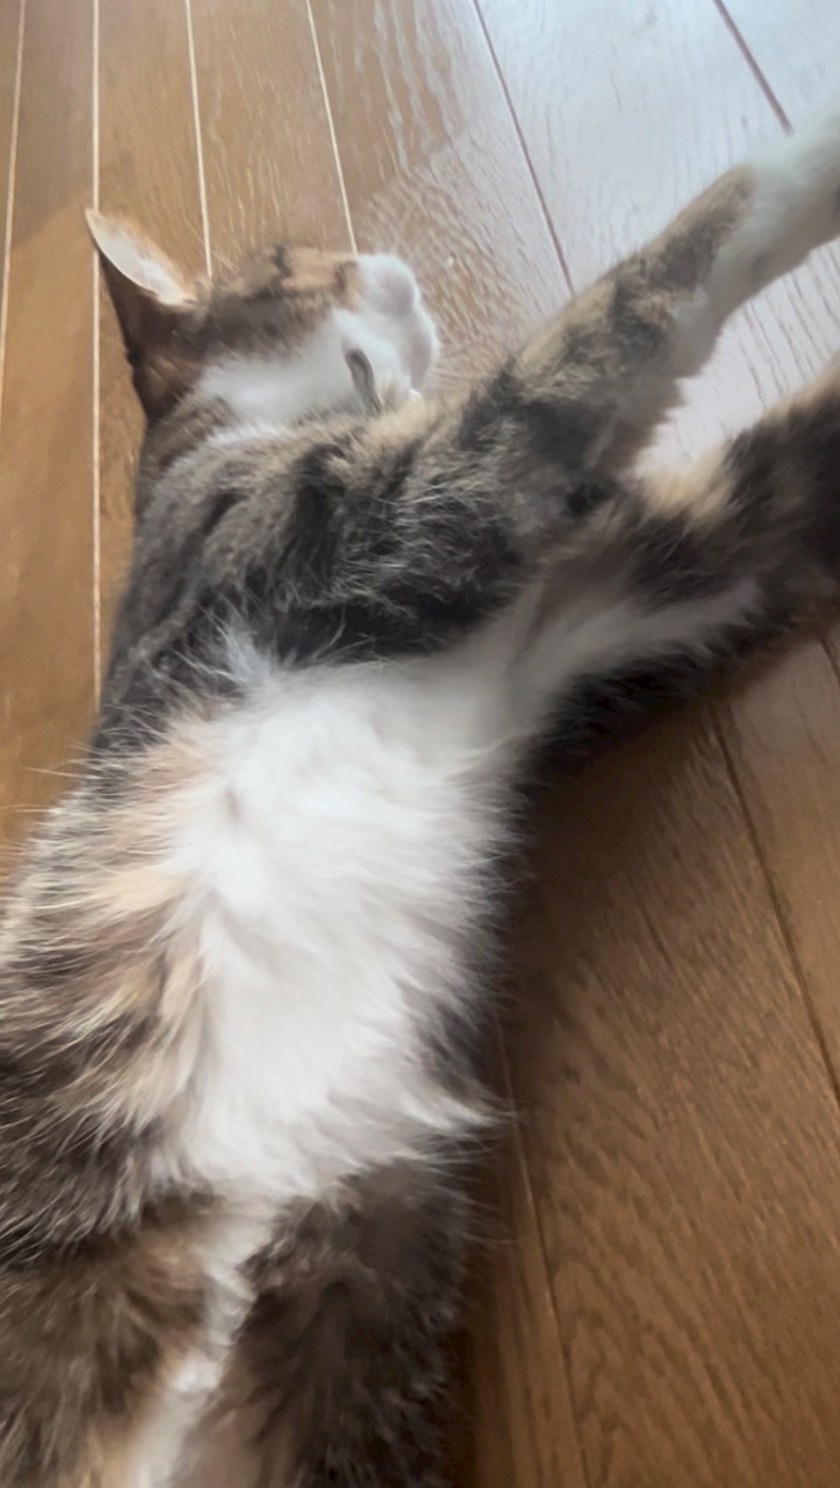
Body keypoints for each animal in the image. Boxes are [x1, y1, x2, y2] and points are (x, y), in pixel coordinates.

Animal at [2, 103, 840, 1488]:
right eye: (294, 259)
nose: (384, 261)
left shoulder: (620, 597)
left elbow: (779, 471)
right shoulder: (385, 515)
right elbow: (623, 309)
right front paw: (807, 150)